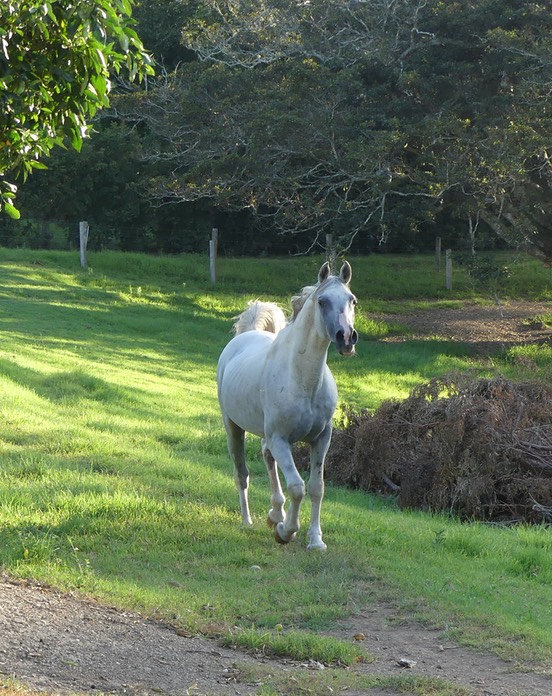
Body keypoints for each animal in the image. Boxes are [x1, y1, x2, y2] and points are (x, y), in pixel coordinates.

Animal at [216, 260, 358, 548]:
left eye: (352, 300)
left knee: (267, 459)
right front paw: (285, 531)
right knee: (242, 473)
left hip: (267, 437)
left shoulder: (321, 439)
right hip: (233, 427)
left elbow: (316, 488)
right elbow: (297, 487)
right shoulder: (280, 439)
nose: (347, 337)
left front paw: (315, 539)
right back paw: (248, 521)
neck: (303, 381)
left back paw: (274, 513)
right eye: (322, 301)